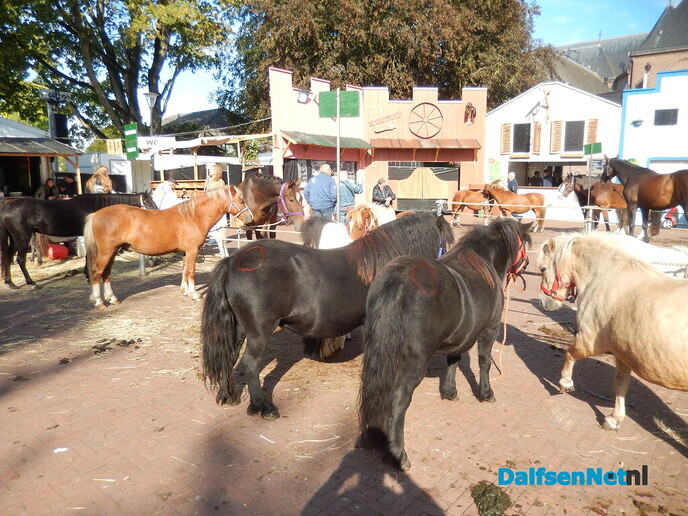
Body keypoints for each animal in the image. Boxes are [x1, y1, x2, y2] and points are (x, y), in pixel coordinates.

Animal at [0, 193, 157, 288]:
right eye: (149, 203)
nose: (157, 213)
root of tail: (6, 207)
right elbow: (88, 256)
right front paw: (89, 277)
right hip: (22, 237)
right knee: (20, 259)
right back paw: (31, 282)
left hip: (14, 239)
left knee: (9, 257)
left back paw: (10, 282)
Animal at [84, 185, 252, 307]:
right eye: (241, 201)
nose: (250, 217)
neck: (193, 216)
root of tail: (95, 215)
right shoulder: (192, 251)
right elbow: (191, 272)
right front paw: (194, 294)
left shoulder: (186, 252)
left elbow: (184, 270)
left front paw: (185, 291)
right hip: (106, 252)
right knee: (97, 272)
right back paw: (99, 302)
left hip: (112, 252)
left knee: (106, 274)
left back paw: (112, 298)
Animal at [201, 212, 456, 420]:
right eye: (445, 244)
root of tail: (233, 261)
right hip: (258, 331)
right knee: (250, 365)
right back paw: (264, 407)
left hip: (240, 327)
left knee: (228, 356)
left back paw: (228, 395)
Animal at [358, 218, 532, 470]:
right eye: (523, 242)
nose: (526, 263)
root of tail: (397, 282)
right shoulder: (489, 330)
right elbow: (484, 362)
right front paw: (486, 393)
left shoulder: (459, 337)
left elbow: (454, 359)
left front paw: (449, 391)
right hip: (416, 361)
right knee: (399, 399)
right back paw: (399, 454)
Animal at [537, 232, 688, 431]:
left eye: (542, 269)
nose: (544, 302)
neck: (606, 276)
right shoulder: (623, 354)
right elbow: (620, 385)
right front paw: (614, 419)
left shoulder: (588, 340)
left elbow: (570, 354)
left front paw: (565, 383)